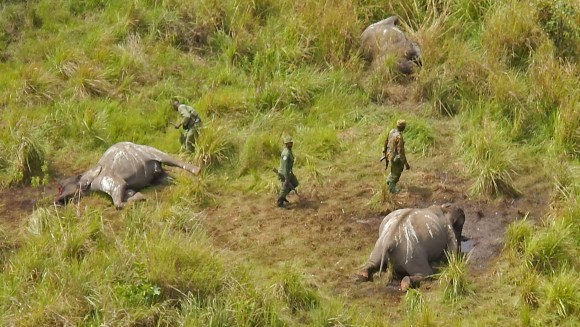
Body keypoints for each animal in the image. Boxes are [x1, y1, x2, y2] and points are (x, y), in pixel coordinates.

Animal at [55, 142, 199, 209]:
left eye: (60, 188)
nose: (56, 201)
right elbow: (128, 192)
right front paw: (140, 196)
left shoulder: (108, 179)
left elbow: (118, 201)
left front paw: (139, 199)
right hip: (158, 173)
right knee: (167, 178)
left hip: (152, 151)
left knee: (172, 160)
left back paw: (198, 170)